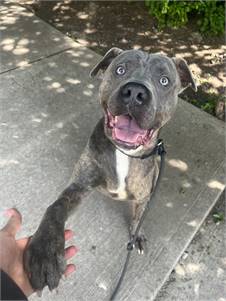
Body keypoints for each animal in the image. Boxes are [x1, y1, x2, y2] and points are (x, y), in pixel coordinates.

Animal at [25, 48, 197, 290]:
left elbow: (138, 218)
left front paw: (137, 235)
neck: (124, 153)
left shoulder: (143, 196)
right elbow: (55, 207)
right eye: (120, 69)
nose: (135, 92)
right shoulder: (79, 186)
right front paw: (45, 250)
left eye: (164, 80)